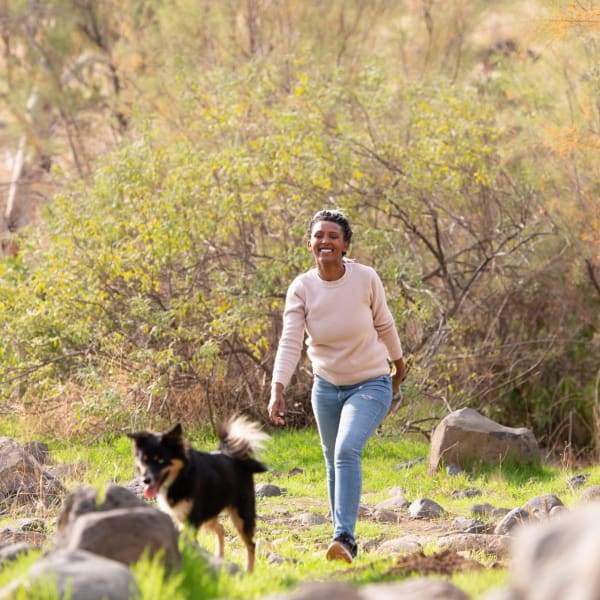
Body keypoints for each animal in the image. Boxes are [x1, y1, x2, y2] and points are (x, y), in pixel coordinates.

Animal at [128, 418, 270, 572]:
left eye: (161, 460)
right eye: (144, 460)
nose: (145, 480)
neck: (179, 478)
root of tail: (231, 455)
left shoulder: (191, 520)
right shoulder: (178, 517)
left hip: (240, 515)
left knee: (250, 544)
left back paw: (249, 571)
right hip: (207, 513)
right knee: (221, 529)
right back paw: (219, 557)